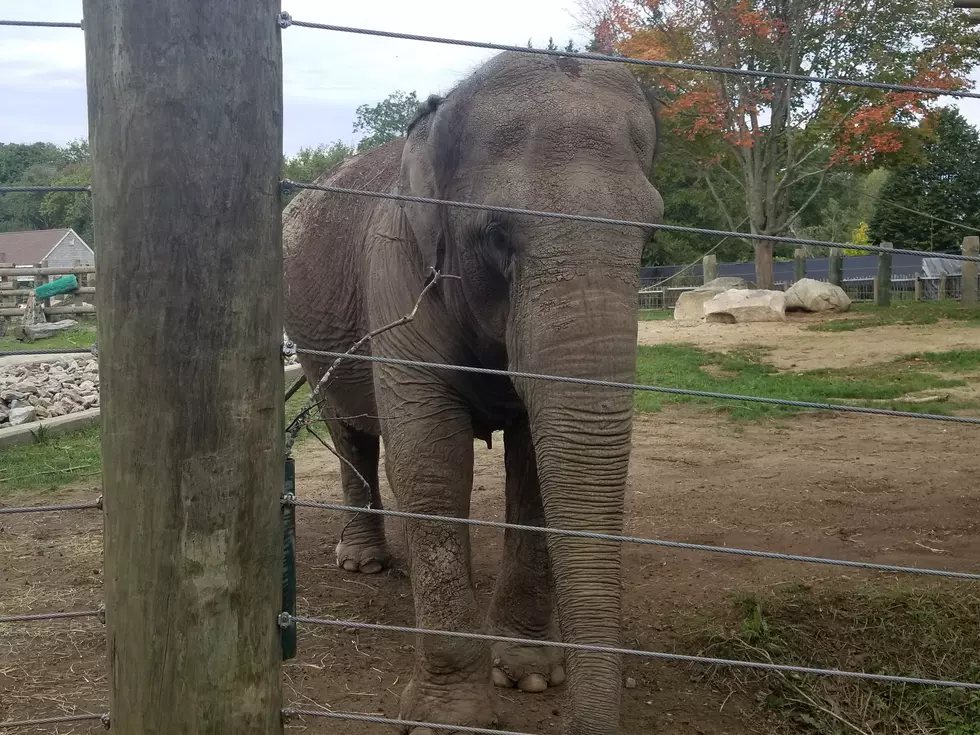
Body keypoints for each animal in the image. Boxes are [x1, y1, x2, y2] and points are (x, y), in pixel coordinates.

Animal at [284, 49, 668, 732]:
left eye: (649, 233)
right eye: (496, 235)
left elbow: (535, 466)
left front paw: (530, 677)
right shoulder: (395, 273)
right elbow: (432, 460)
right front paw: (448, 718)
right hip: (313, 335)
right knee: (351, 434)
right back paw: (364, 562)